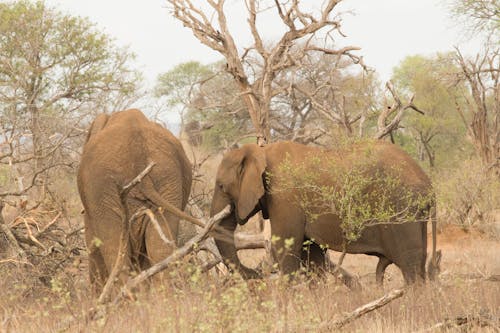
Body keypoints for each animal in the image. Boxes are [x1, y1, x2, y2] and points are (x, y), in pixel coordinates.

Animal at [211, 139, 442, 282]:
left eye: (221, 186)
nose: (258, 272)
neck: (261, 151)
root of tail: (428, 183)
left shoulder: (285, 198)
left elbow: (286, 249)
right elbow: (312, 256)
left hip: (402, 210)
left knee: (409, 264)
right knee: (419, 262)